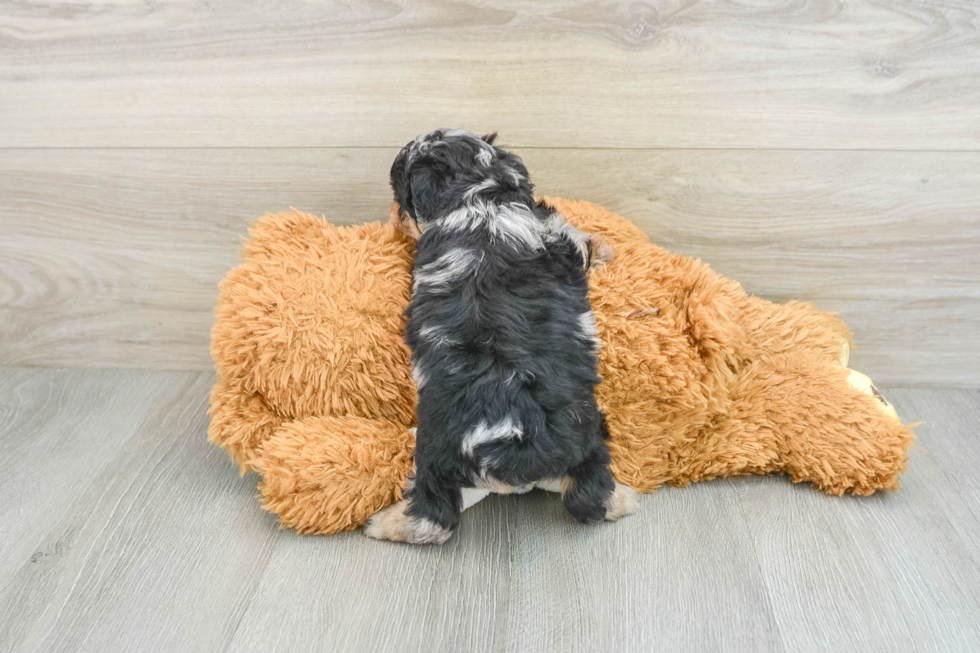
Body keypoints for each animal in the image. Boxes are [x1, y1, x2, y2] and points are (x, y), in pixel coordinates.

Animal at [364, 130, 640, 544]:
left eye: (402, 196)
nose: (394, 215)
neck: (479, 197)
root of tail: (510, 443)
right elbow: (583, 241)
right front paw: (604, 248)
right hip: (586, 436)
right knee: (587, 497)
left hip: (437, 451)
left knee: (434, 517)